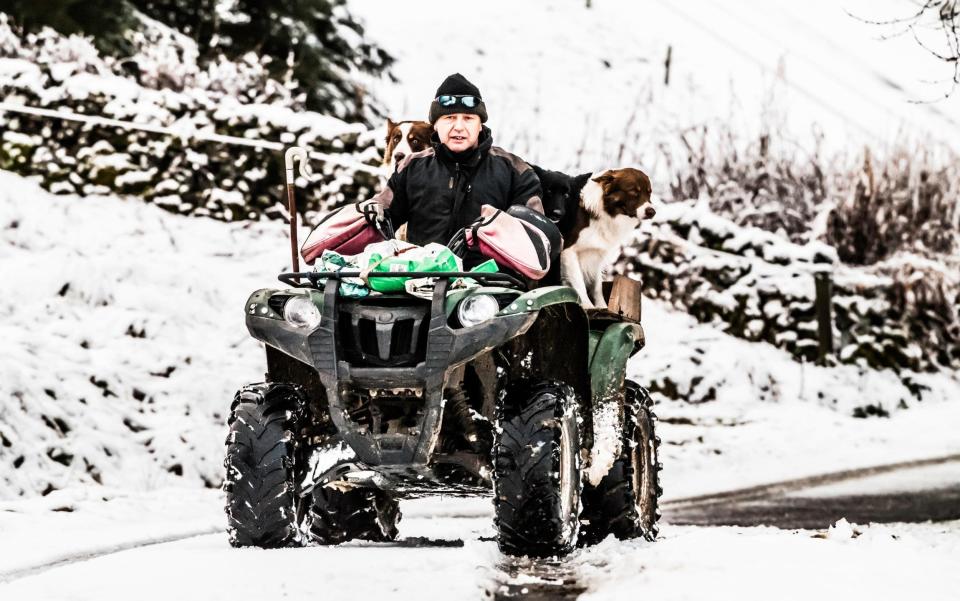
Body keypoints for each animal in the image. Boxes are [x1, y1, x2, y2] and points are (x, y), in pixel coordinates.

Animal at [532, 164, 652, 308]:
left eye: (649, 193)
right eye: (633, 191)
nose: (652, 212)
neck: (603, 212)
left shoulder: (597, 254)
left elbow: (597, 286)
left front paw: (602, 307)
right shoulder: (569, 251)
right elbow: (579, 283)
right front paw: (588, 306)